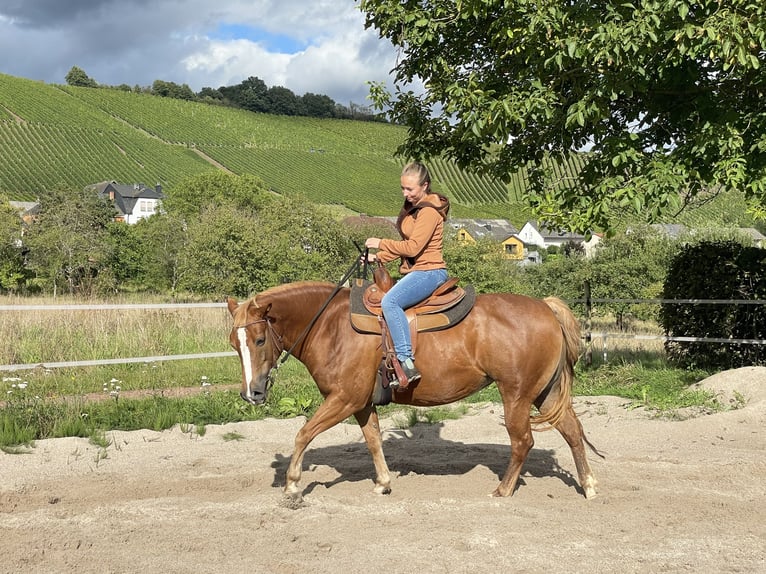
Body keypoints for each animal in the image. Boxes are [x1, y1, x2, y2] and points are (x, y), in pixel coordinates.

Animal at [226, 282, 600, 502]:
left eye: (259, 339)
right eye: (233, 342)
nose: (251, 393)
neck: (330, 326)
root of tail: (545, 307)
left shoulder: (344, 399)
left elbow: (303, 433)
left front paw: (291, 484)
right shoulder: (361, 404)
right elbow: (373, 440)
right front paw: (383, 482)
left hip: (517, 394)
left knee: (523, 441)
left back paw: (504, 489)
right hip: (545, 392)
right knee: (573, 431)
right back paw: (588, 485)